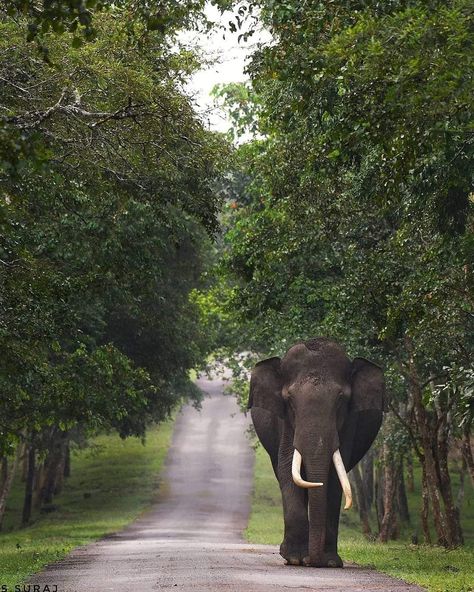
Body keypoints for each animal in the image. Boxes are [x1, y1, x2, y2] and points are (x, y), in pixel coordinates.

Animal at [248, 336, 386, 568]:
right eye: (289, 400)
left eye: (341, 399)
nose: (313, 561)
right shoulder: (285, 423)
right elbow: (287, 467)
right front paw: (295, 558)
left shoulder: (349, 424)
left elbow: (334, 478)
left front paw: (329, 562)